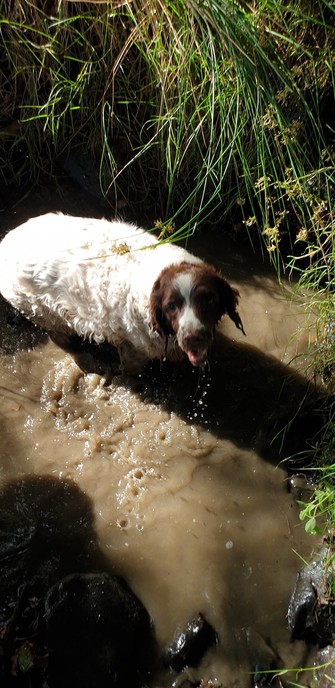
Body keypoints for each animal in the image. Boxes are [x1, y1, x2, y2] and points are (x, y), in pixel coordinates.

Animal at [0, 215, 244, 374]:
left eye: (208, 299)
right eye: (171, 306)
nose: (194, 338)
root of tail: (7, 240)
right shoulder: (133, 351)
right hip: (42, 313)